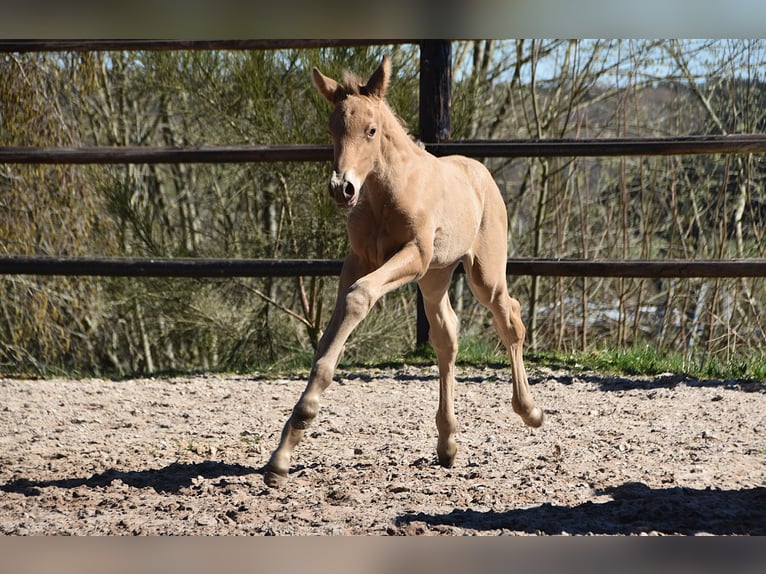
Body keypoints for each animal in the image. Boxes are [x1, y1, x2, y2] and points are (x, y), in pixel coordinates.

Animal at [263, 55, 543, 487]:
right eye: (331, 128)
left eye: (371, 130)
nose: (341, 188)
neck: (383, 192)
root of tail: (480, 172)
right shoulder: (359, 260)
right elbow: (333, 332)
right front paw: (283, 453)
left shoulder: (413, 255)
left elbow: (359, 297)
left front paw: (299, 425)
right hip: (435, 277)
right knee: (446, 336)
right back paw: (447, 444)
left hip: (482, 273)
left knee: (509, 319)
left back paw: (530, 410)